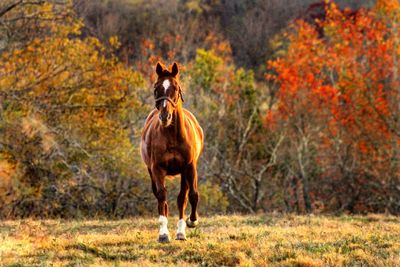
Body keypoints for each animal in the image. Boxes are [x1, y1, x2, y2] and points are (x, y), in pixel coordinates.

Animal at [140, 62, 203, 243]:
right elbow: (162, 196)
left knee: (182, 198)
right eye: (156, 88)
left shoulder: (189, 167)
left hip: (184, 173)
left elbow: (192, 195)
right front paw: (163, 234)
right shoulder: (157, 169)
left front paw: (192, 222)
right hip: (151, 172)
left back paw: (181, 232)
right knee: (161, 198)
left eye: (175, 87)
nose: (165, 116)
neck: (173, 136)